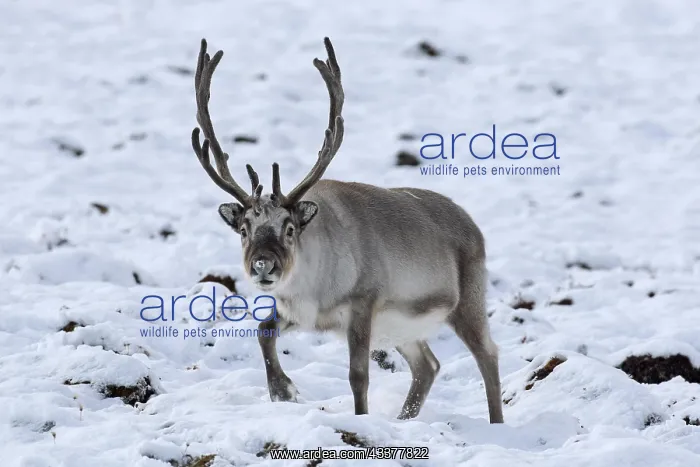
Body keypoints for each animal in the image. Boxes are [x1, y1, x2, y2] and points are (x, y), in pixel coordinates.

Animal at [190, 37, 504, 423]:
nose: (263, 266)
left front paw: (359, 417)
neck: (315, 287)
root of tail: (473, 226)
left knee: (487, 355)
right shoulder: (302, 314)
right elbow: (263, 331)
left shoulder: (363, 304)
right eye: (244, 229)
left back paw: (496, 423)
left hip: (468, 302)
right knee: (428, 366)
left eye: (290, 228)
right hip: (402, 328)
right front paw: (283, 391)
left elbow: (358, 375)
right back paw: (404, 419)